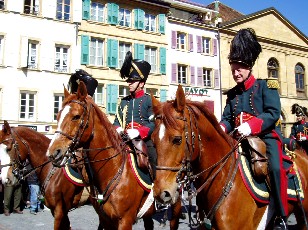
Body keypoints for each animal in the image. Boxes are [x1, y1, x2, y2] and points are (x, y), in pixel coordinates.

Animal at [46, 82, 182, 229]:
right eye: (58, 115)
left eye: (76, 116)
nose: (52, 152)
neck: (111, 169)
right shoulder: (106, 220)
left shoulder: (125, 220)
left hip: (176, 206)